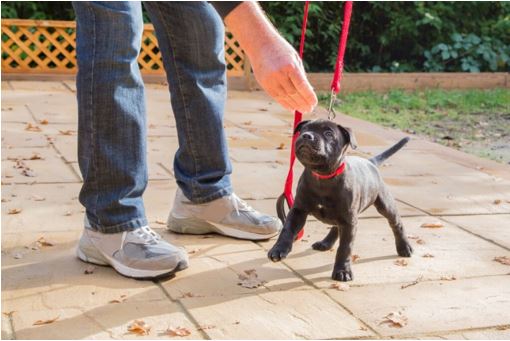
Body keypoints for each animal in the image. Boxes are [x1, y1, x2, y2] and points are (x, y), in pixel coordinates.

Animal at [268, 118, 412, 280]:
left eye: (329, 133)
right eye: (304, 129)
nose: (306, 136)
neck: (323, 177)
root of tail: (370, 162)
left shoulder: (349, 222)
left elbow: (345, 248)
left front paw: (342, 271)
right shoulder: (298, 210)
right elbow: (287, 229)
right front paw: (279, 249)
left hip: (384, 204)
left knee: (396, 223)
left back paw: (404, 247)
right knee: (336, 227)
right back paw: (325, 243)